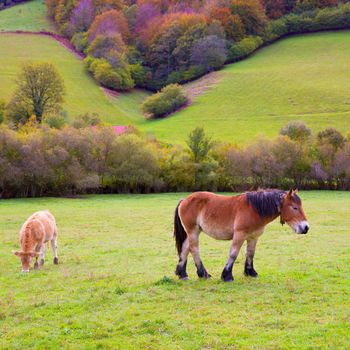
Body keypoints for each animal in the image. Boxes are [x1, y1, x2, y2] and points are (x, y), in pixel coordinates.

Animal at [174, 189, 308, 282]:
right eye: (294, 207)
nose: (306, 227)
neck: (254, 209)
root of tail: (184, 201)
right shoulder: (239, 235)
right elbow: (233, 254)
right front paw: (227, 276)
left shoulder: (253, 237)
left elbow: (250, 253)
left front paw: (251, 272)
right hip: (193, 231)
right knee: (194, 249)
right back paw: (203, 274)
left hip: (193, 232)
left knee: (185, 248)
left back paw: (182, 274)